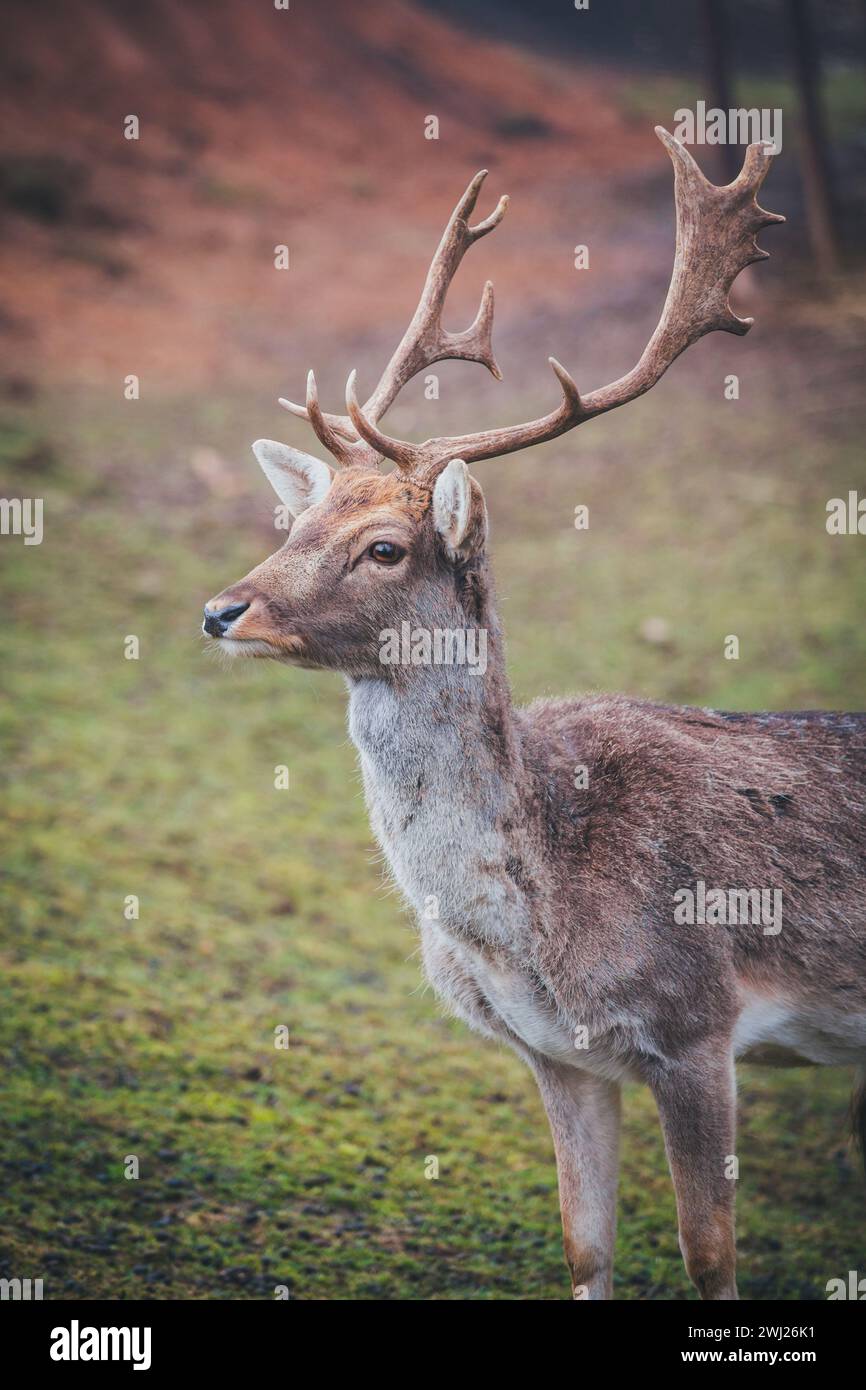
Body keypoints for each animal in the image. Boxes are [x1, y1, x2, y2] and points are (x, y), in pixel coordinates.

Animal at [203, 128, 866, 1300]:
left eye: (384, 547)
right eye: (297, 519)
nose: (220, 608)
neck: (546, 918)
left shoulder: (697, 1024)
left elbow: (708, 1255)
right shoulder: (555, 1054)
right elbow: (583, 1244)